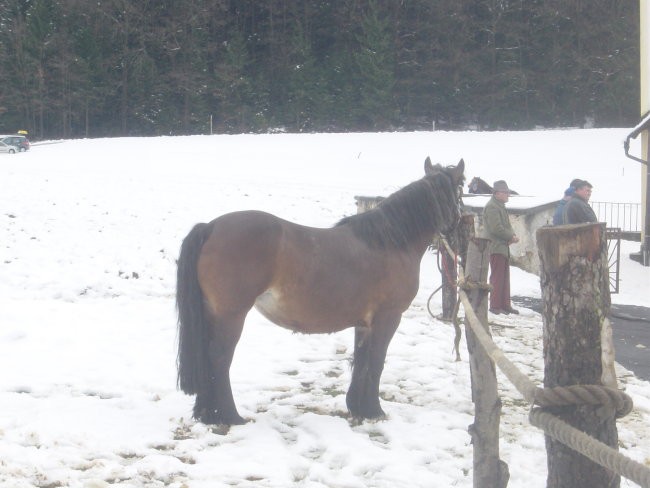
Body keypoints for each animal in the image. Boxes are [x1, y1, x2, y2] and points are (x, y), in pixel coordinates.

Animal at [175, 158, 464, 426]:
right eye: (461, 188)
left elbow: (361, 360)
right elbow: (376, 361)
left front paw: (358, 407)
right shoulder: (388, 317)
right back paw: (229, 416)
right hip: (231, 315)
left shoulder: (364, 323)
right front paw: (374, 410)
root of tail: (211, 227)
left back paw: (207, 414)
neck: (390, 242)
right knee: (219, 358)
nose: (457, 233)